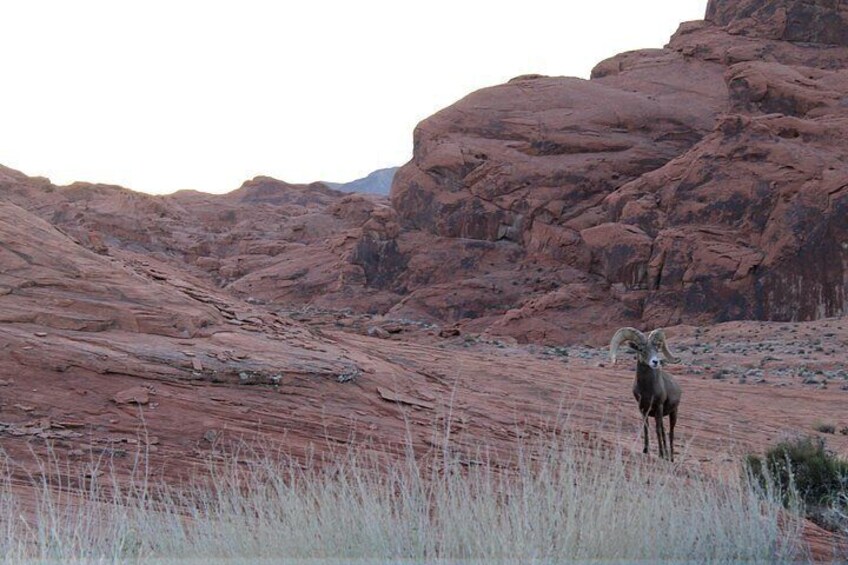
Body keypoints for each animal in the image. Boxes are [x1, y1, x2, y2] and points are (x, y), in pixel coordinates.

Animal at [609, 327, 682, 461]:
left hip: (673, 412)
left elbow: (657, 430)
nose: (655, 362)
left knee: (670, 433)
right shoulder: (643, 408)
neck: (647, 390)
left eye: (656, 349)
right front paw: (646, 450)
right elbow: (646, 428)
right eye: (642, 350)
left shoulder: (658, 406)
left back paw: (670, 457)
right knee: (664, 430)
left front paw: (661, 454)